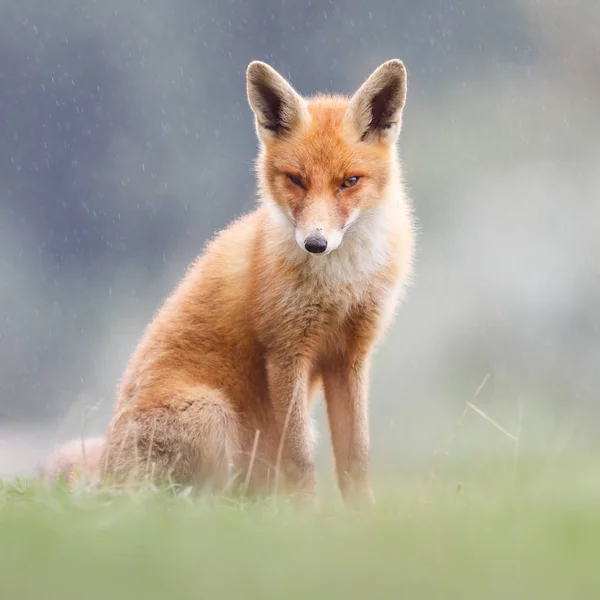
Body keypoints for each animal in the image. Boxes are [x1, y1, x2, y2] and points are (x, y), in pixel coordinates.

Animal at [42, 58, 414, 506]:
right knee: (193, 504)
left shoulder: (350, 356)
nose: (315, 243)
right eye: (296, 180)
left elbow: (356, 458)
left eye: (350, 182)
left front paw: (364, 516)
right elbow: (301, 460)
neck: (342, 282)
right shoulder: (286, 352)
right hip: (212, 415)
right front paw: (309, 516)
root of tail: (107, 471)